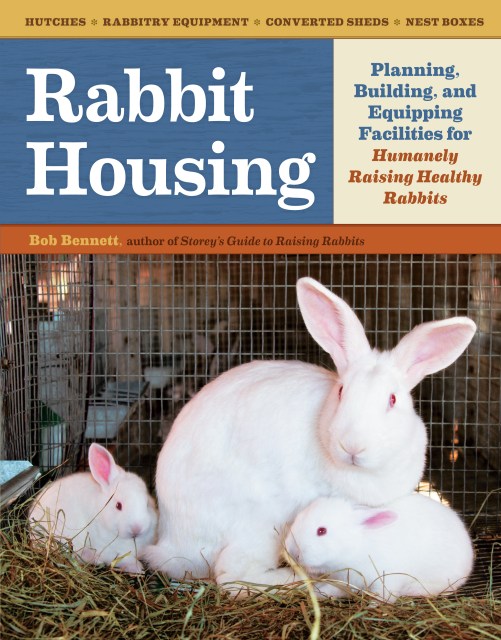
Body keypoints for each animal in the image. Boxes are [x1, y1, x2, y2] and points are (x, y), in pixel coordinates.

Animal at [29, 442, 158, 574]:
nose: (137, 529)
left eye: (147, 504)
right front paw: (137, 568)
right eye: (118, 505)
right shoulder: (109, 551)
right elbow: (123, 560)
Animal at [284, 493, 475, 603]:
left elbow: (384, 597)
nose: (291, 550)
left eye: (322, 531)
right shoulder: (345, 581)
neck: (357, 547)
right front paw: (317, 593)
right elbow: (333, 589)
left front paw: (373, 606)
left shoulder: (387, 579)